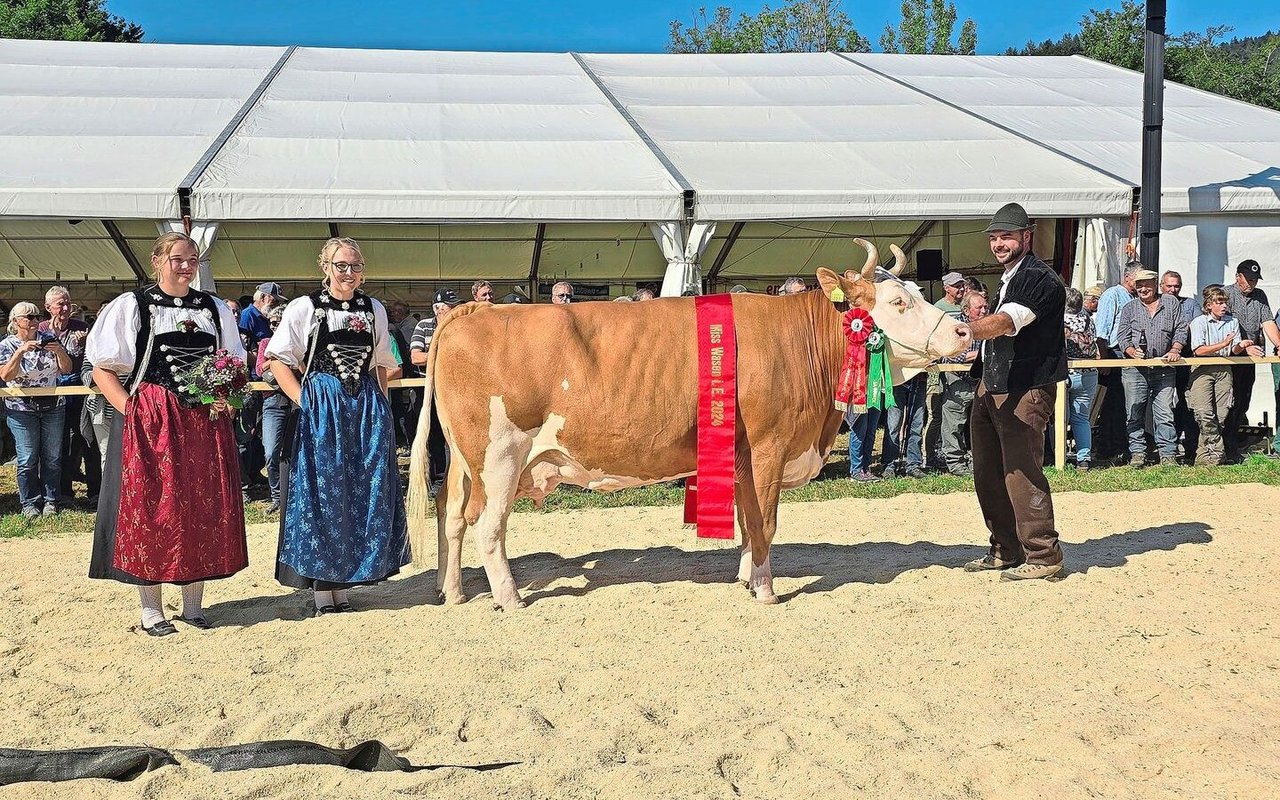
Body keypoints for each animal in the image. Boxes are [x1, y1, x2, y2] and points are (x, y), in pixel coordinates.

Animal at [409, 240, 967, 609]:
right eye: (898, 302)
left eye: (915, 292)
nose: (963, 330)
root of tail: (472, 310)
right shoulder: (769, 445)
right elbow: (765, 520)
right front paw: (765, 590)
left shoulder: (741, 455)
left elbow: (747, 520)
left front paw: (745, 577)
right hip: (500, 455)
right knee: (488, 526)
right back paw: (509, 598)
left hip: (463, 459)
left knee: (451, 514)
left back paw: (452, 592)